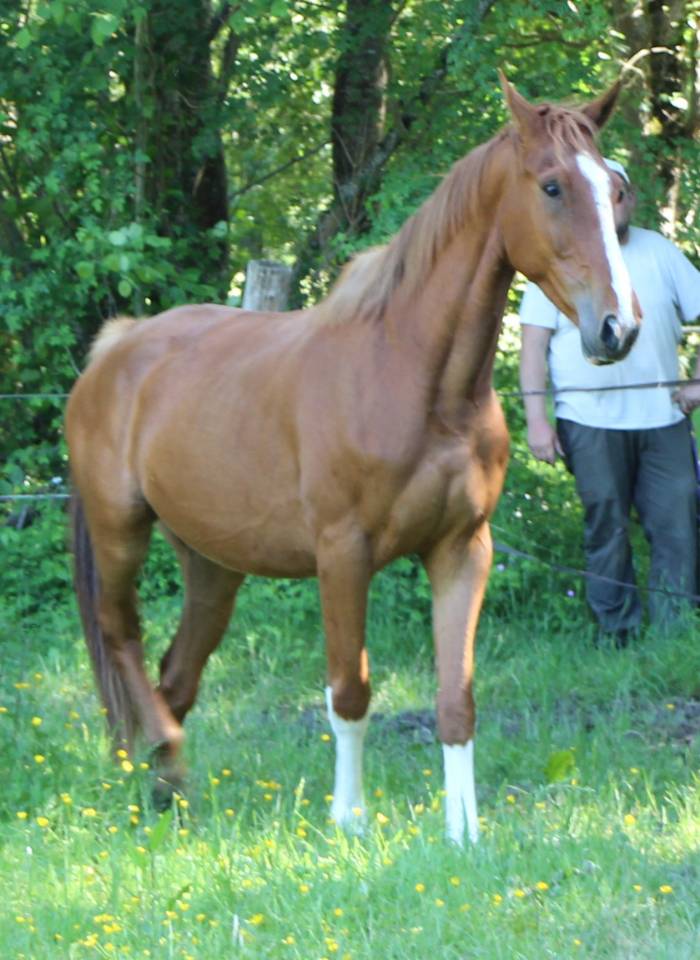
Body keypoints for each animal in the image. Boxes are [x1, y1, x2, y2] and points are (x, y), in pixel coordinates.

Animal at [66, 75, 640, 846]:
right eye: (551, 186)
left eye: (614, 188)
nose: (619, 327)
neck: (416, 379)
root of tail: (115, 349)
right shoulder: (343, 554)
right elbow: (350, 690)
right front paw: (349, 819)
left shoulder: (463, 549)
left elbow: (456, 698)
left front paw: (464, 833)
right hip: (121, 530)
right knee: (119, 632)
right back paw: (164, 754)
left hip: (212, 565)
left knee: (175, 671)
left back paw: (165, 791)